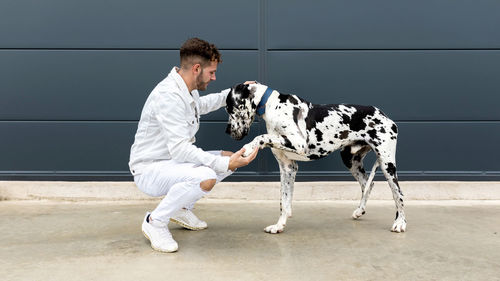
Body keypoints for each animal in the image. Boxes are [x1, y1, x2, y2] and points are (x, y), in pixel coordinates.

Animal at [226, 82, 406, 233]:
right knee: (367, 184)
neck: (272, 105)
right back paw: (359, 210)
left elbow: (261, 137)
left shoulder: (298, 143)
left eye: (229, 108)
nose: (227, 130)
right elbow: (283, 201)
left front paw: (249, 147)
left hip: (387, 164)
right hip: (350, 160)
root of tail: (384, 115)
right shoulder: (287, 168)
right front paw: (279, 225)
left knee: (398, 194)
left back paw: (400, 223)